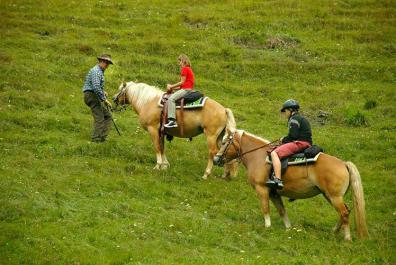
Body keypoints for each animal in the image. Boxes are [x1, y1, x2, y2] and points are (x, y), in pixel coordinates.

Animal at [213, 128, 368, 239]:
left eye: (225, 142)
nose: (216, 159)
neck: (259, 157)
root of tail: (343, 164)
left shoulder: (262, 189)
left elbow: (265, 208)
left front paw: (267, 227)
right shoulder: (274, 193)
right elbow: (282, 211)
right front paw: (288, 229)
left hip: (334, 197)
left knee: (344, 213)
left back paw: (347, 238)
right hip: (329, 196)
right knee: (345, 212)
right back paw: (334, 231)